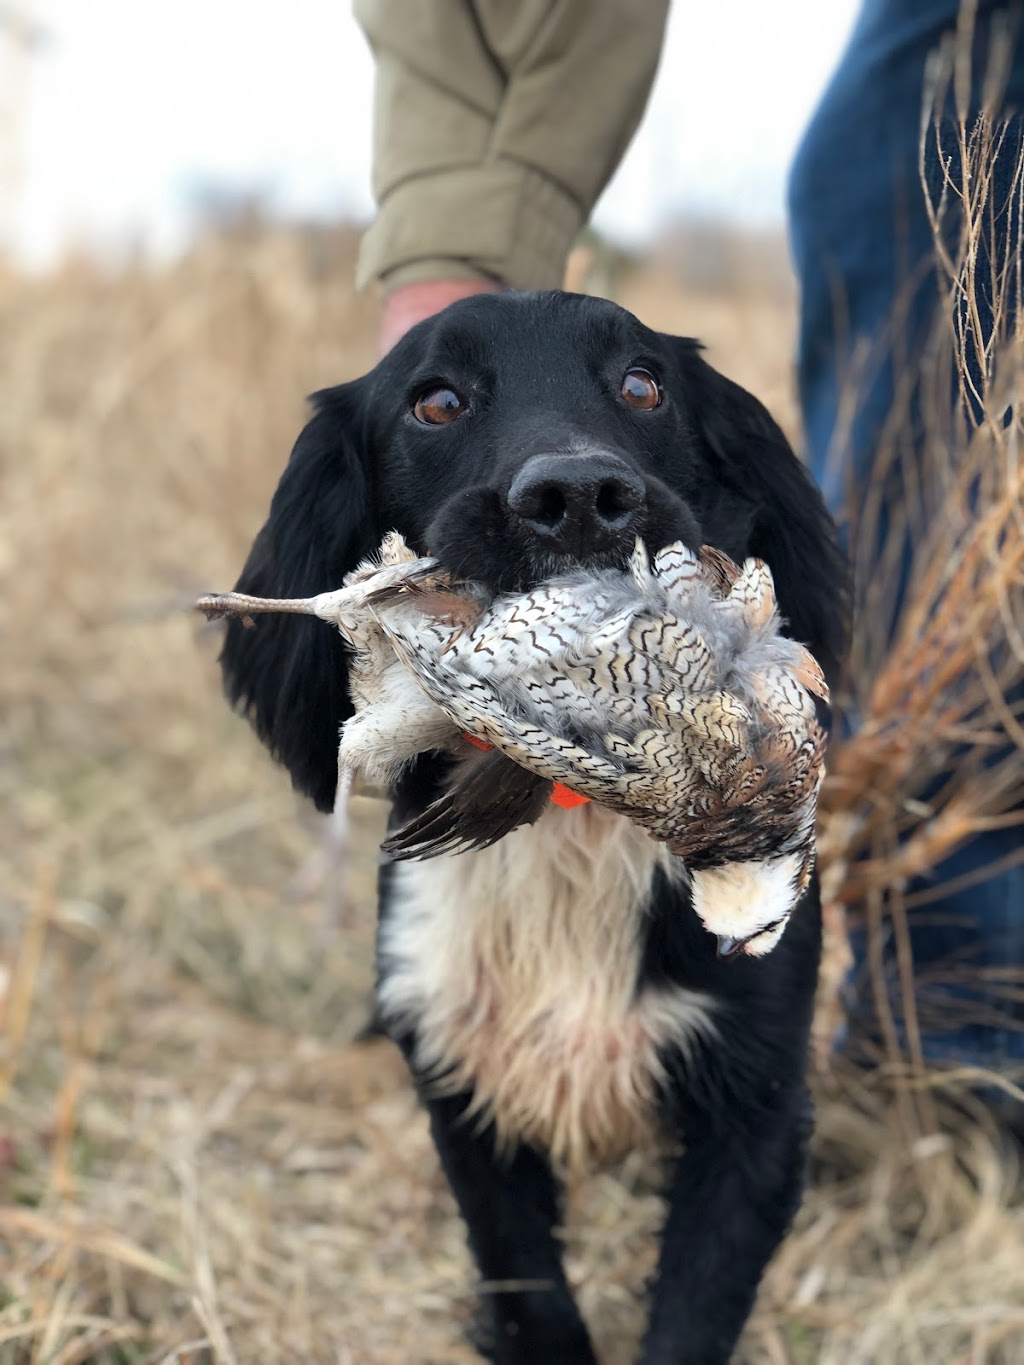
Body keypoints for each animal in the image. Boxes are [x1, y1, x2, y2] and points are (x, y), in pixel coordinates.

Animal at [218, 293, 851, 1365]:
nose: (580, 494)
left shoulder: (756, 1101)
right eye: (435, 400)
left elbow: (691, 1310)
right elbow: (526, 1282)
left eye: (643, 384)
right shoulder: (462, 1076)